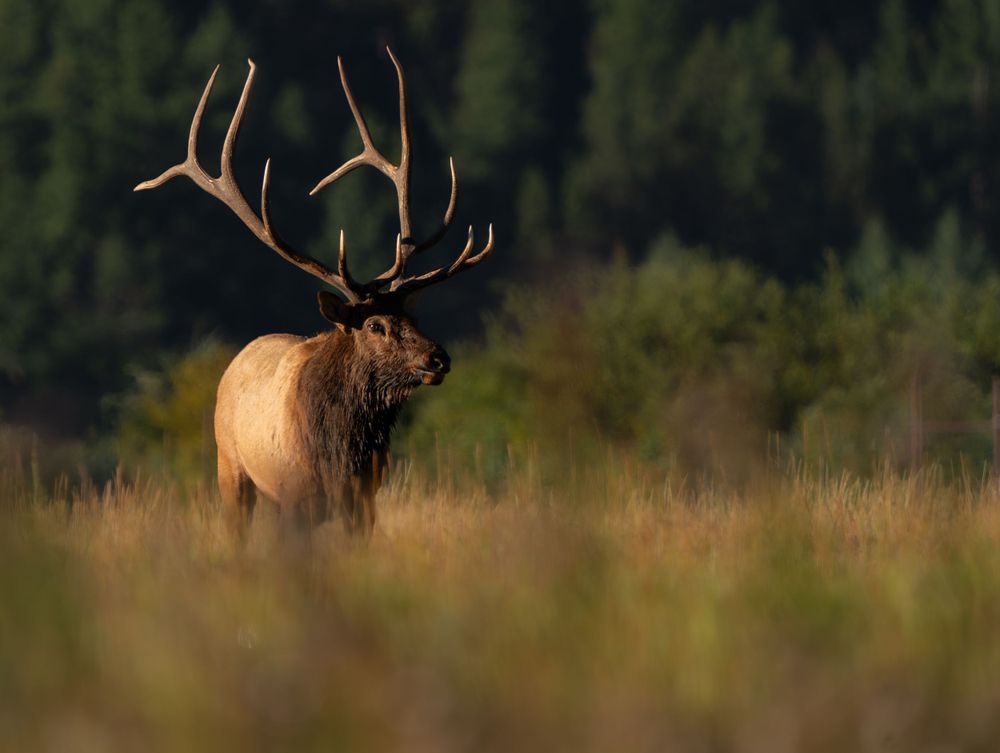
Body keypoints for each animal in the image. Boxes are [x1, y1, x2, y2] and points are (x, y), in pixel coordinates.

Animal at [134, 49, 494, 540]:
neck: (339, 452)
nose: (438, 358)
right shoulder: (294, 496)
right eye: (375, 324)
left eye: (414, 319)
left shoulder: (365, 497)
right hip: (231, 467)